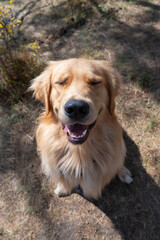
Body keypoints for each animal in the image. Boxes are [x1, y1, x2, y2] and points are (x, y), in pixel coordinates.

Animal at [30, 57, 132, 199]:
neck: (78, 151)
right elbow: (63, 180)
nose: (76, 108)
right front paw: (63, 189)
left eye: (95, 82)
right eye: (61, 82)